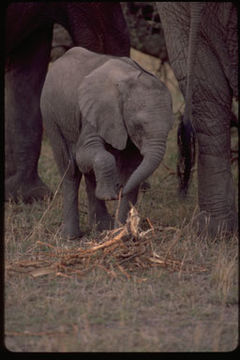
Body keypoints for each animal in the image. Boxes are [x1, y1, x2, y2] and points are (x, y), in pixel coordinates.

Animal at [40, 47, 173, 239]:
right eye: (138, 126)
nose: (119, 189)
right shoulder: (96, 112)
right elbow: (82, 155)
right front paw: (110, 197)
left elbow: (132, 167)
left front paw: (123, 235)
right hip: (50, 115)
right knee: (70, 169)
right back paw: (71, 237)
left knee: (89, 174)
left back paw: (101, 228)